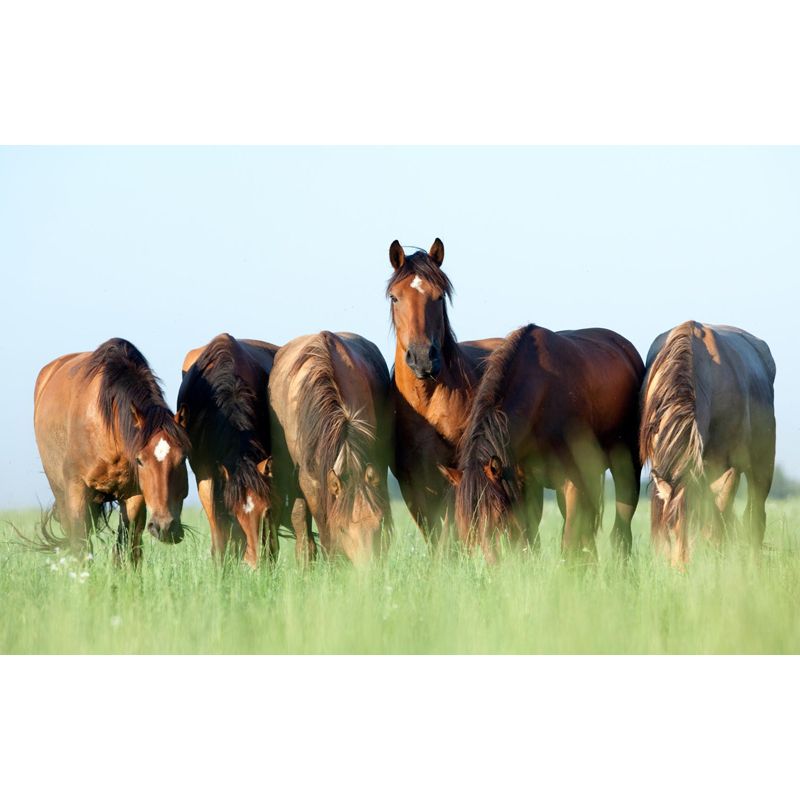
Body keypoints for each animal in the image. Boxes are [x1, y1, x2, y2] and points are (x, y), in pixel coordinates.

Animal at [33, 338, 190, 564]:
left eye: (183, 458)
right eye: (140, 460)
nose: (165, 527)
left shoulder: (134, 495)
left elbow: (127, 546)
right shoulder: (77, 488)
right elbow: (80, 544)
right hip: (61, 492)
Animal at [441, 323, 644, 563]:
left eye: (498, 516)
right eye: (464, 522)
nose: (488, 566)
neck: (541, 397)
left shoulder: (572, 482)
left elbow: (569, 542)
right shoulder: (525, 484)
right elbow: (530, 539)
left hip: (626, 469)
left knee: (621, 529)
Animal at [640, 321, 776, 567]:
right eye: (672, 529)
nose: (683, 571)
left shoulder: (729, 468)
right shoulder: (661, 464)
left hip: (762, 467)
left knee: (754, 519)